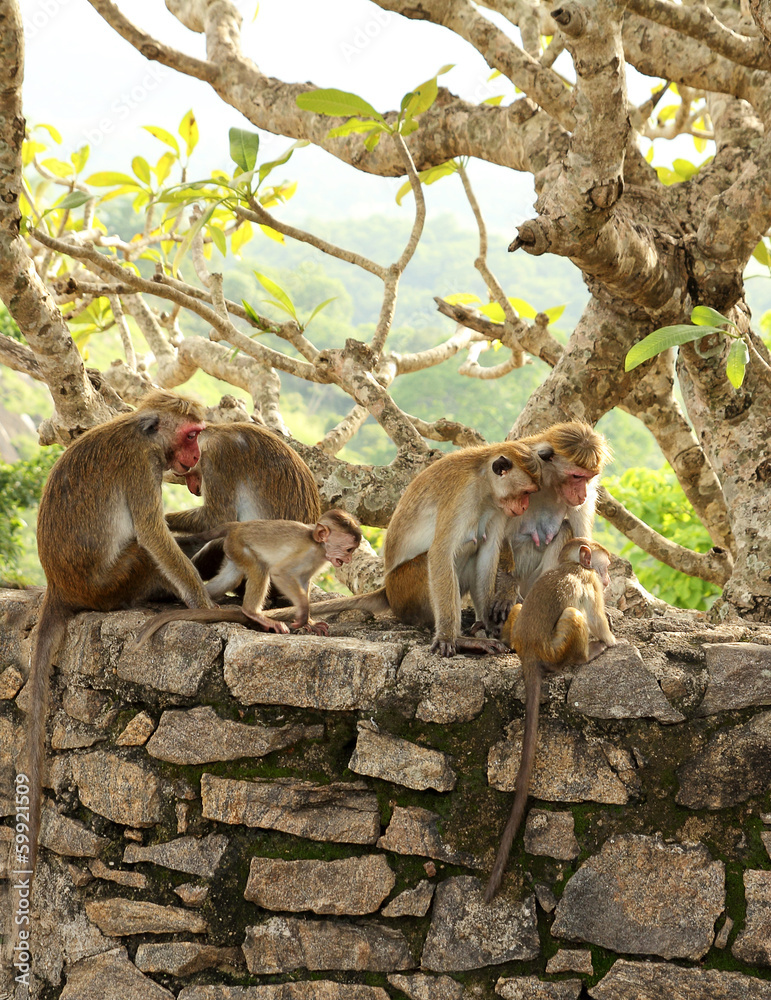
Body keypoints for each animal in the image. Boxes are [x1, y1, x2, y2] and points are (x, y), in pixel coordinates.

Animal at [26, 390, 216, 870]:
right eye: (192, 435)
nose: (196, 456)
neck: (143, 436)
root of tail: (59, 587)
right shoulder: (140, 467)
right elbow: (153, 534)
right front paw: (204, 605)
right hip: (112, 583)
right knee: (142, 553)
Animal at [131, 510, 363, 644]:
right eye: (349, 549)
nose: (349, 559)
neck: (318, 544)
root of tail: (237, 525)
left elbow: (303, 582)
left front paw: (310, 622)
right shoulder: (306, 553)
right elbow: (281, 573)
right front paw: (304, 615)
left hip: (232, 550)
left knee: (232, 577)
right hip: (239, 544)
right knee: (260, 569)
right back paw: (253, 612)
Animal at [484, 537, 616, 902]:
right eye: (606, 567)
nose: (610, 580)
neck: (571, 565)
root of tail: (528, 650)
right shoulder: (590, 583)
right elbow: (597, 619)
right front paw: (613, 641)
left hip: (517, 628)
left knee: (517, 610)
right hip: (556, 650)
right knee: (574, 616)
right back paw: (587, 655)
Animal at [490, 421, 611, 624]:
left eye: (589, 477)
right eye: (576, 476)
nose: (583, 494)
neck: (548, 480)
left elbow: (582, 540)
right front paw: (507, 588)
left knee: (565, 529)